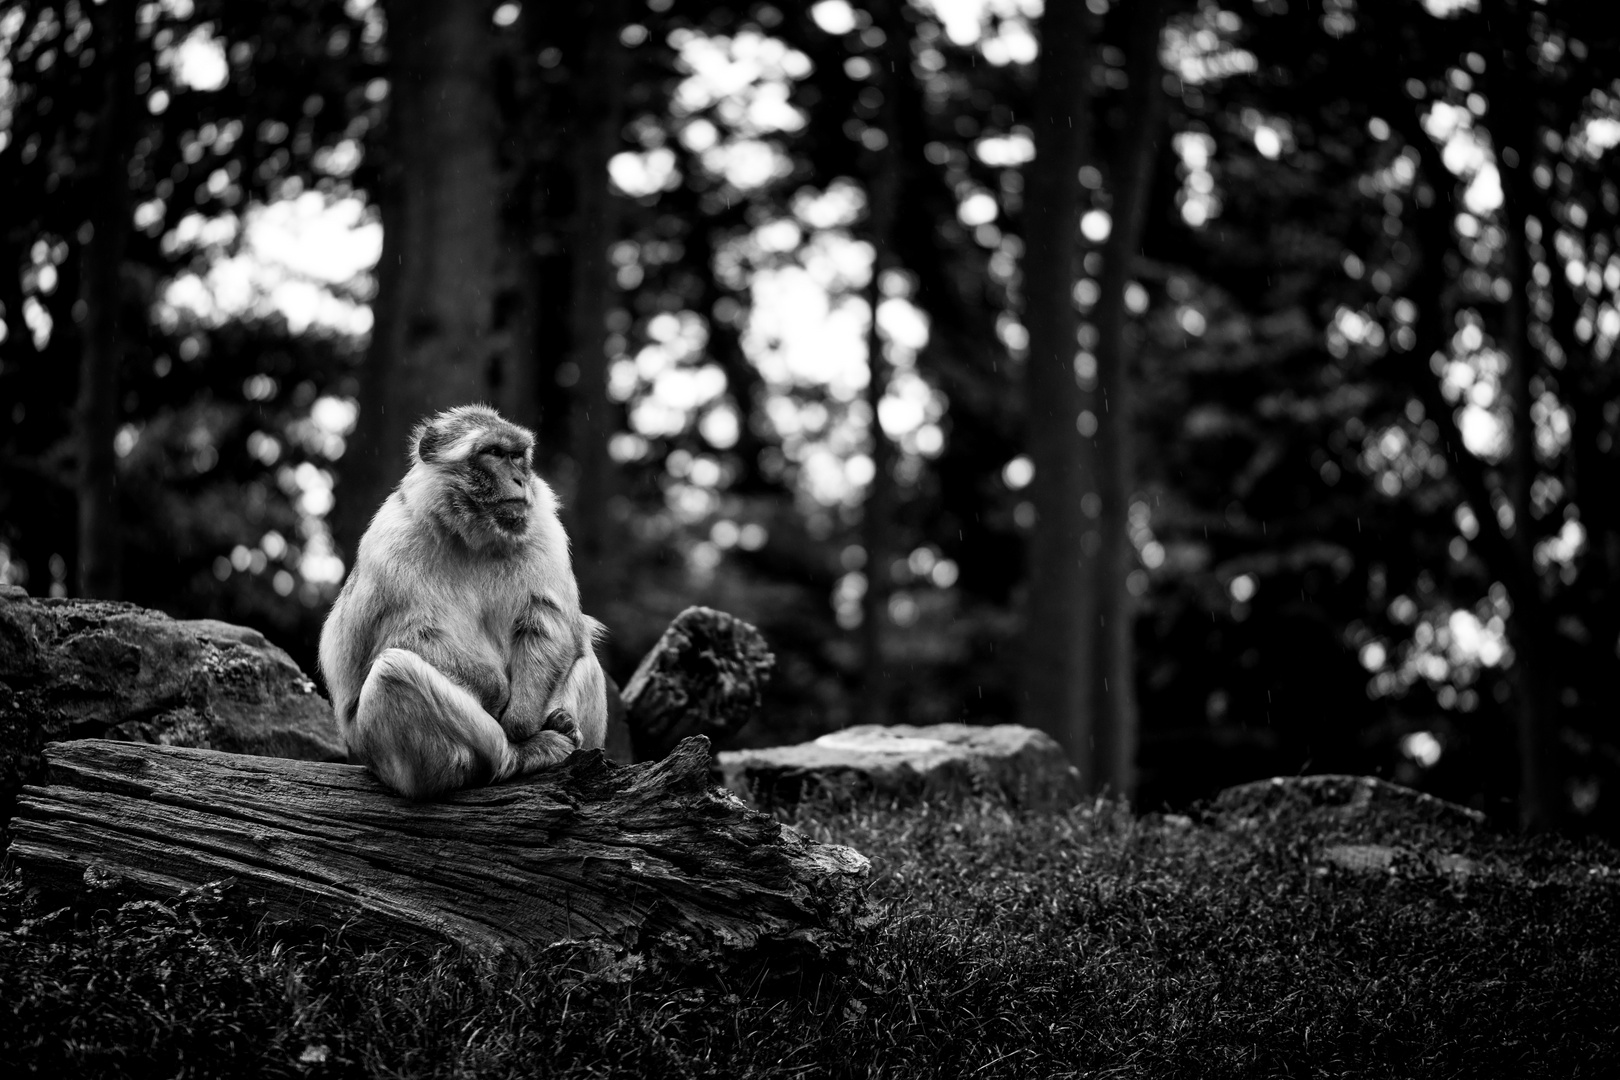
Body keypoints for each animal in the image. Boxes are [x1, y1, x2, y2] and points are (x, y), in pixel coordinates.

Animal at [317, 401, 609, 799]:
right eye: (494, 453)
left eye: (517, 457)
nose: (520, 480)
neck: (472, 536)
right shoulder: (391, 538)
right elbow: (404, 637)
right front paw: (497, 692)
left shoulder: (543, 525)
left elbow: (551, 621)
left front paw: (521, 718)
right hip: (395, 764)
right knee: (393, 673)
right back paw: (519, 755)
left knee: (585, 657)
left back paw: (563, 726)